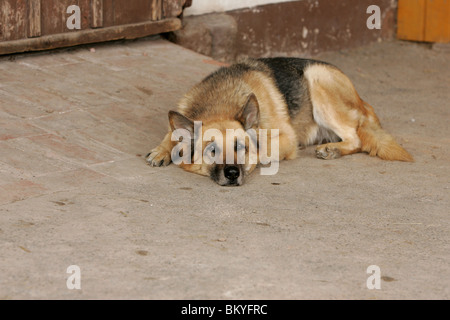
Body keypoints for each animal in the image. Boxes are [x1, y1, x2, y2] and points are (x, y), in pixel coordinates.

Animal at [146, 57, 414, 185]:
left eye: (240, 147)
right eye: (212, 150)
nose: (232, 173)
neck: (220, 103)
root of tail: (363, 102)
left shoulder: (285, 138)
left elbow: (264, 149)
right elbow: (171, 133)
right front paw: (162, 150)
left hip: (316, 76)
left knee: (356, 137)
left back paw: (332, 149)